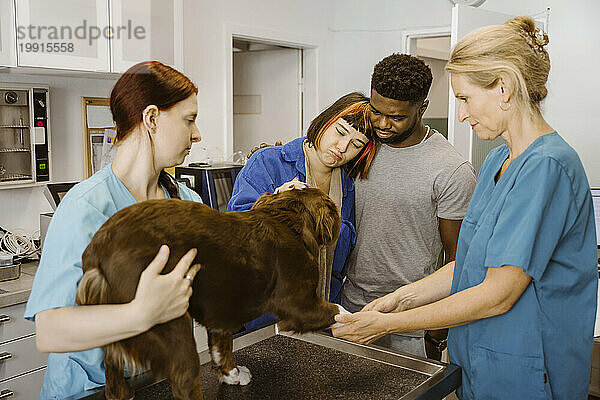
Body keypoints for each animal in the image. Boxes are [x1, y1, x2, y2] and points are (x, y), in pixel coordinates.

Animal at [75, 188, 342, 400]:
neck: (286, 220)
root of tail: (100, 251)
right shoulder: (299, 304)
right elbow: (337, 311)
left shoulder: (221, 312)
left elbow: (222, 347)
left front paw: (232, 375)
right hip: (168, 319)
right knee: (184, 380)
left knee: (112, 371)